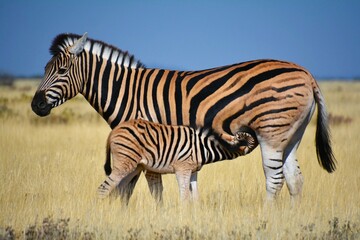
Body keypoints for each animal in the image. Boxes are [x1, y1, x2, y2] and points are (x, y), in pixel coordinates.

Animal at [32, 32, 336, 202]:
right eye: (45, 69)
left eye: (61, 71)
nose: (36, 105)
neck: (128, 92)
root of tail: (307, 74)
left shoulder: (144, 142)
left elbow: (129, 188)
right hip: (292, 136)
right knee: (295, 180)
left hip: (271, 133)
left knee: (274, 180)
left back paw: (267, 215)